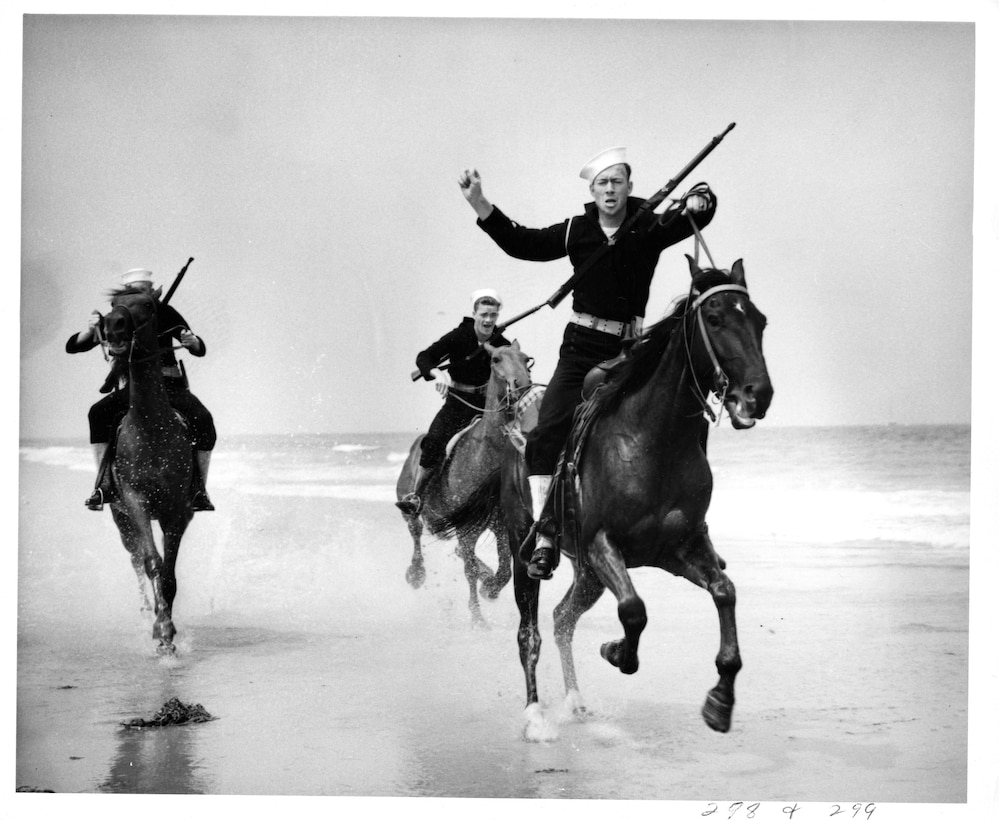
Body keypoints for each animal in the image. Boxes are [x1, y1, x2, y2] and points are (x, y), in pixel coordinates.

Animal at [103, 288, 197, 652]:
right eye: (114, 305)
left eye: (146, 304)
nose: (113, 325)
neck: (151, 426)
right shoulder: (135, 502)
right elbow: (153, 563)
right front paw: (160, 629)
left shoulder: (177, 511)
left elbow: (169, 574)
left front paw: (167, 631)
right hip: (122, 519)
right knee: (136, 561)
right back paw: (147, 614)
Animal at [394, 342, 544, 624]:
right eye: (496, 359)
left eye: (525, 359)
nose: (521, 386)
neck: (487, 450)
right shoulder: (467, 530)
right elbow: (470, 569)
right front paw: (477, 618)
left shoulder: (500, 525)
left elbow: (503, 570)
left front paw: (490, 588)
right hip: (412, 509)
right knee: (416, 533)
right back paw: (416, 573)